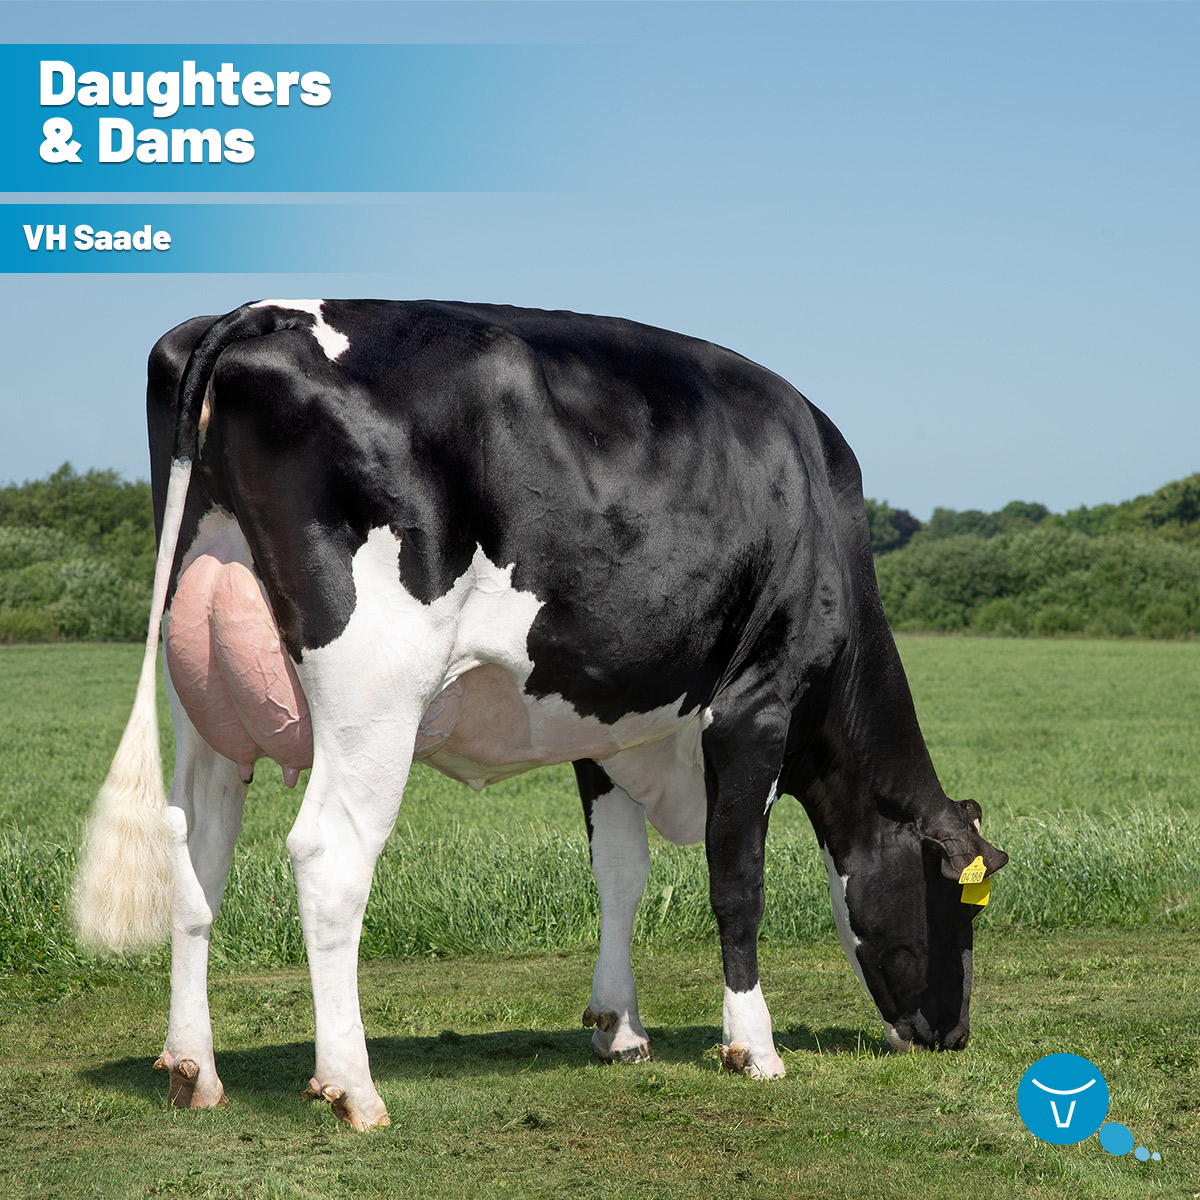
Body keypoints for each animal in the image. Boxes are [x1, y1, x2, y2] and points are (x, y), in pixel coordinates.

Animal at [75, 299, 1007, 1130]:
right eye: (962, 905)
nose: (954, 1034)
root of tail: (254, 313)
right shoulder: (755, 706)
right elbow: (737, 880)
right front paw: (754, 1047)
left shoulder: (607, 720)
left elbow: (621, 874)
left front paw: (619, 1029)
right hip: (373, 693)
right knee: (330, 858)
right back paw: (353, 1089)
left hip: (202, 691)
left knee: (195, 849)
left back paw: (193, 1069)